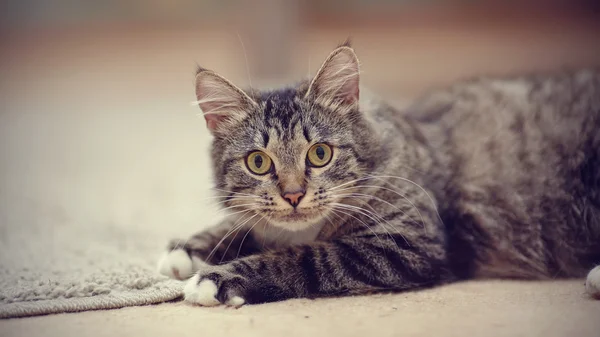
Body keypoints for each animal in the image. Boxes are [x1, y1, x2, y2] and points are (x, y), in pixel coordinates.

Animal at [158, 40, 600, 306]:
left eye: (320, 154)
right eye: (259, 162)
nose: (294, 195)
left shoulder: (407, 243)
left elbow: (304, 258)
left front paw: (218, 279)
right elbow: (238, 229)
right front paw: (185, 252)